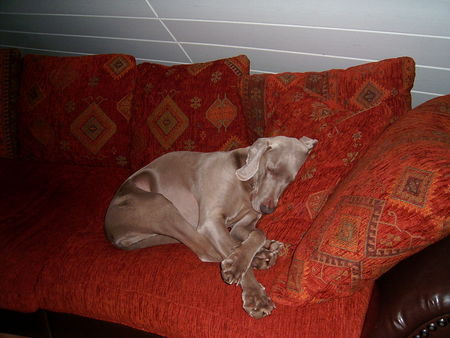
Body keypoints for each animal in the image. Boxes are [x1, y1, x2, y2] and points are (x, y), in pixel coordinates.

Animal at [104, 135, 316, 320]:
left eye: (290, 180)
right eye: (271, 170)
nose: (267, 209)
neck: (245, 185)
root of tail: (110, 232)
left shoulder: (242, 225)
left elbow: (258, 233)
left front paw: (256, 250)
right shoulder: (211, 221)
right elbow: (232, 249)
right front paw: (254, 295)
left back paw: (265, 252)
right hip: (160, 204)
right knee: (206, 250)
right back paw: (259, 258)